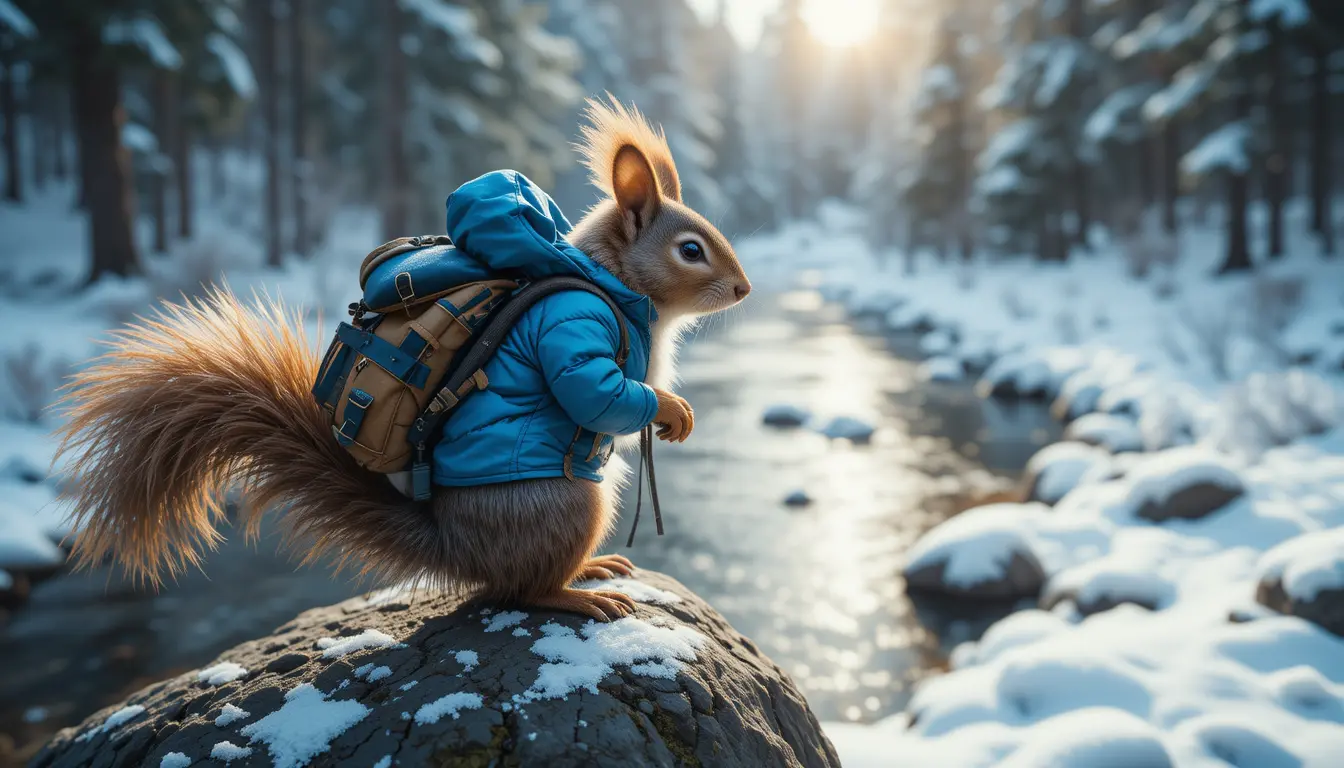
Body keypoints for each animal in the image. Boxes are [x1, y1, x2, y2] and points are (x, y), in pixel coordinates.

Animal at [54, 99, 751, 623]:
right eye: (691, 250)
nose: (745, 289)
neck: (611, 282)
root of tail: (457, 551)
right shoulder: (576, 322)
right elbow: (595, 392)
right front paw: (671, 409)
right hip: (571, 504)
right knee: (520, 590)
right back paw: (578, 594)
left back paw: (595, 568)